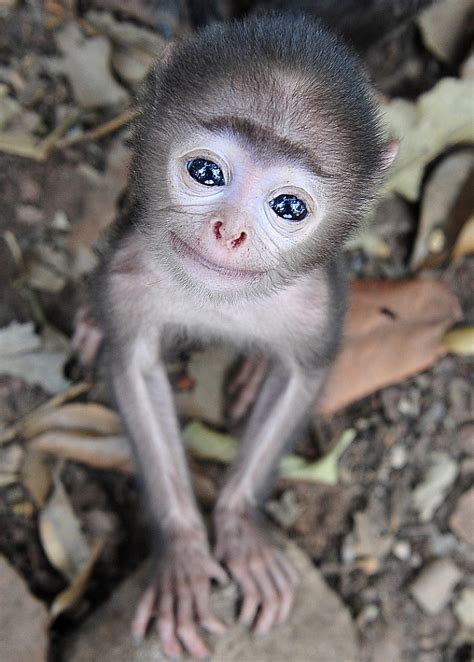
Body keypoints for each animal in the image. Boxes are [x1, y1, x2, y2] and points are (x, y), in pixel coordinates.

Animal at [94, 13, 394, 660]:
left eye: (288, 207)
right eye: (206, 173)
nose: (228, 230)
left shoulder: (316, 303)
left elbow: (302, 375)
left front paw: (240, 529)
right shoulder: (128, 272)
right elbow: (134, 368)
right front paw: (183, 551)